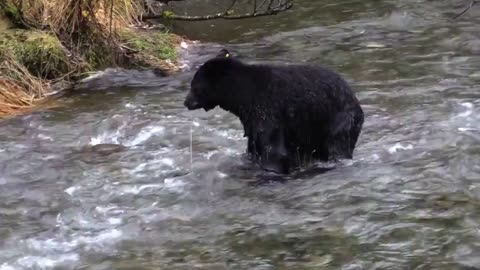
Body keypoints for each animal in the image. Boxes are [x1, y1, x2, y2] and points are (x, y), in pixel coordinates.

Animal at [184, 49, 364, 174]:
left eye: (194, 86)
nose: (186, 102)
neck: (243, 96)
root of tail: (355, 98)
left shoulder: (268, 109)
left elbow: (274, 149)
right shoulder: (251, 120)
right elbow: (254, 145)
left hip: (340, 120)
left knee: (337, 146)